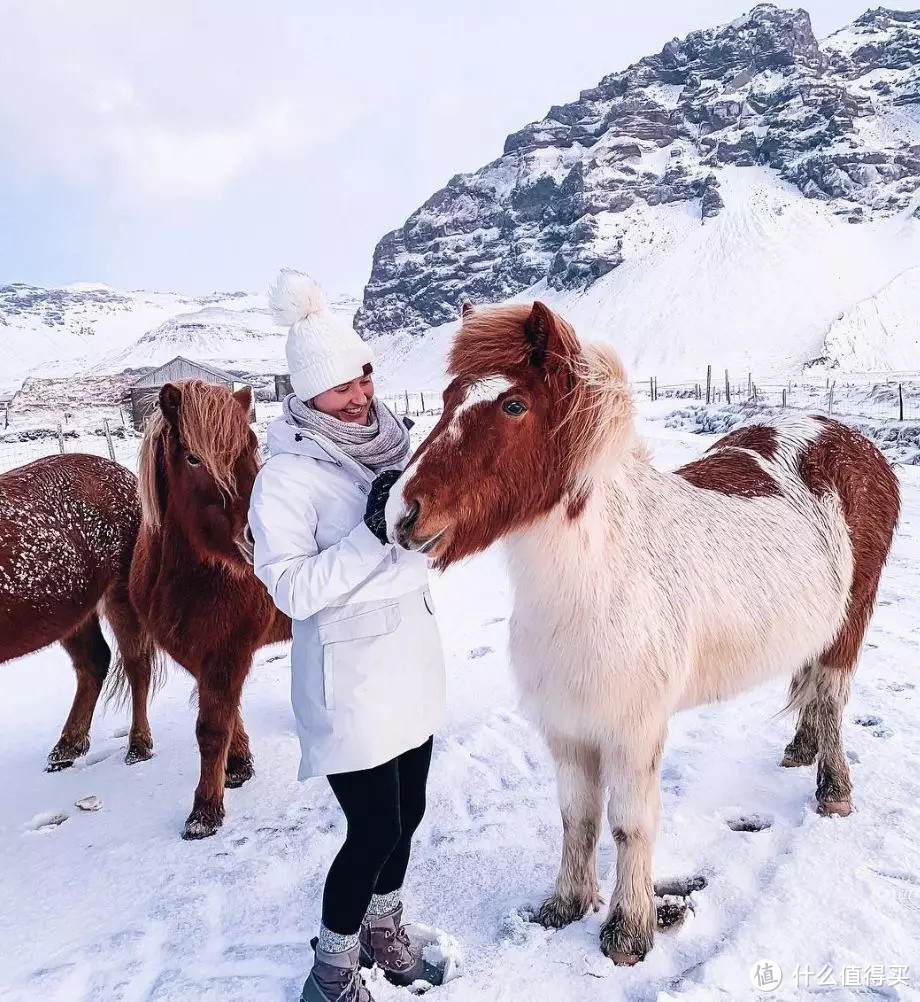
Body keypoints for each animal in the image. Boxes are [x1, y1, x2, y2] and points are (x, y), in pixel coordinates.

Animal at [0, 454, 156, 765]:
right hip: (73, 616)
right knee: (93, 662)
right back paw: (68, 745)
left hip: (120, 597)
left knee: (137, 665)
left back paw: (138, 745)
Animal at [131, 378, 290, 841]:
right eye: (193, 458)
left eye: (250, 445)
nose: (263, 534)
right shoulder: (195, 652)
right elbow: (226, 712)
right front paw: (237, 766)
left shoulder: (229, 651)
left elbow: (211, 726)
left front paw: (205, 810)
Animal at [386, 300, 901, 965]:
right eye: (447, 397)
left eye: (513, 405)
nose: (400, 513)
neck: (599, 580)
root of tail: (850, 436)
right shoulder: (567, 728)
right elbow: (577, 819)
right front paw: (565, 906)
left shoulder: (633, 731)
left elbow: (629, 824)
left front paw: (628, 932)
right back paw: (801, 748)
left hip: (850, 621)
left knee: (833, 695)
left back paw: (833, 787)